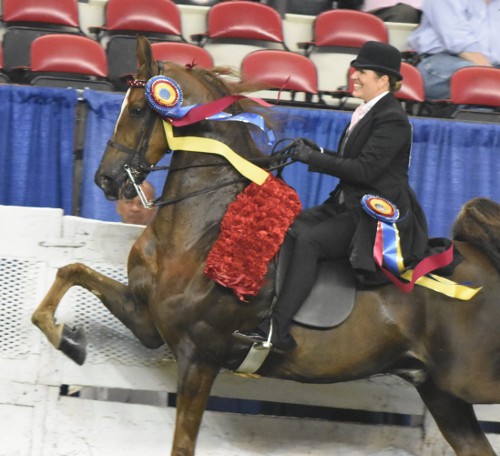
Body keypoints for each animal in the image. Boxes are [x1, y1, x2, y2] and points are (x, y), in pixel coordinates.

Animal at [32, 37, 500, 454]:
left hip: (469, 380)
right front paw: (68, 341)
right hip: (443, 393)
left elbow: (183, 445)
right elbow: (71, 272)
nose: (106, 180)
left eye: (137, 108)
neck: (200, 228)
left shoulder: (199, 356)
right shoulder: (147, 319)